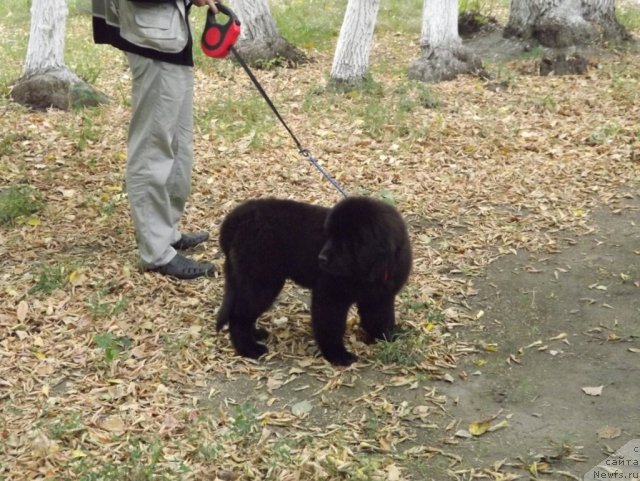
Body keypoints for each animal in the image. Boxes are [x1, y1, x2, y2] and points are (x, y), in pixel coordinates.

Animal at [218, 195, 412, 364]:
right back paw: (249, 348)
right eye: (330, 236)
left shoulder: (379, 298)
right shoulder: (329, 296)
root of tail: (238, 217)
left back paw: (256, 334)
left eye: (347, 240)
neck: (371, 272)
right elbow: (330, 327)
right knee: (239, 315)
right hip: (262, 281)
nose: (321, 259)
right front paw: (338, 355)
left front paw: (388, 337)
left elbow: (381, 319)